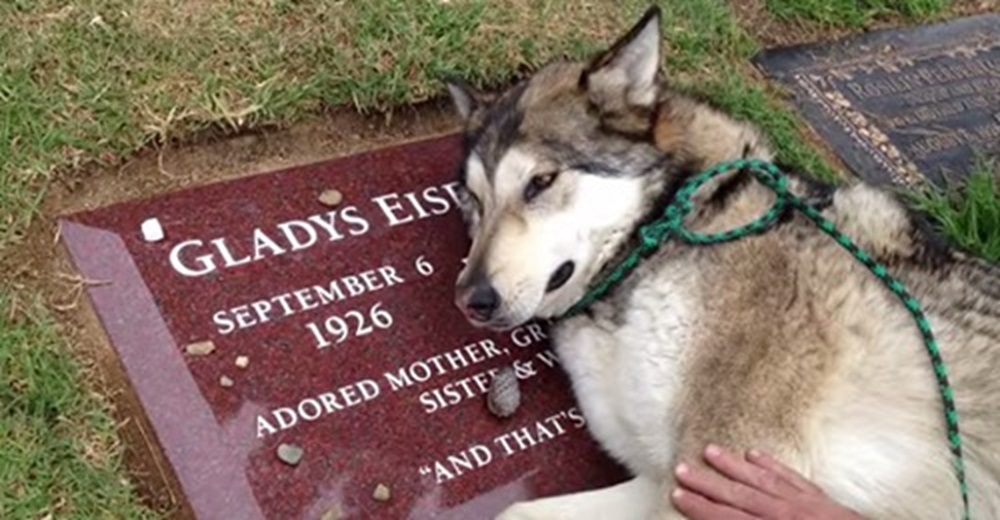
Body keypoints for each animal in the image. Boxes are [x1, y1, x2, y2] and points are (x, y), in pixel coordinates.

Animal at [448, 5, 1000, 520]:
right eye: (472, 199)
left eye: (540, 182)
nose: (471, 300)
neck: (664, 233)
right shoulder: (667, 480)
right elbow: (514, 509)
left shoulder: (720, 470)